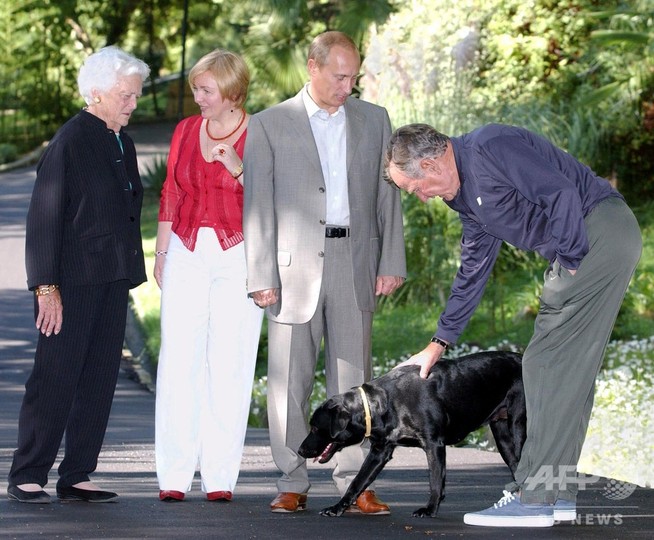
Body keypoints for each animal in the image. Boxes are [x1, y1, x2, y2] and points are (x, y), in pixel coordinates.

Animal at [300, 352, 532, 516]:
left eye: (315, 428)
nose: (300, 450)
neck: (385, 403)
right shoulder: (379, 451)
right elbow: (357, 482)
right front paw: (337, 507)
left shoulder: (434, 444)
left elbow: (435, 480)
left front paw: (429, 509)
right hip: (502, 439)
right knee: (517, 467)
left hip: (519, 428)